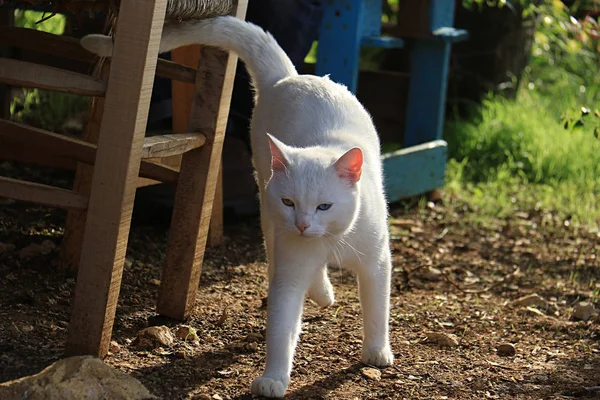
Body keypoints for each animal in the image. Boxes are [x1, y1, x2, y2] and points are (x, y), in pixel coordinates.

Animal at [83, 14, 394, 396]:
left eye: (325, 206)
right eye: (290, 202)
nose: (303, 224)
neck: (330, 240)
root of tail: (289, 77)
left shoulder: (376, 263)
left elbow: (377, 310)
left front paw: (377, 351)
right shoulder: (291, 266)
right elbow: (281, 327)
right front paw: (273, 378)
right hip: (267, 216)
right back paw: (322, 292)